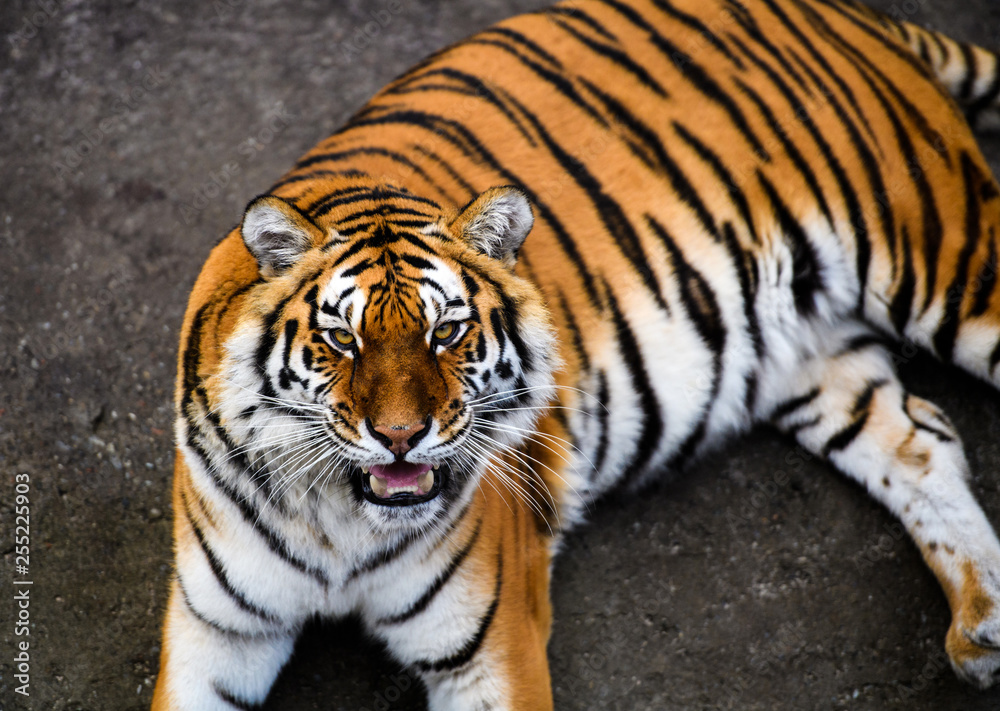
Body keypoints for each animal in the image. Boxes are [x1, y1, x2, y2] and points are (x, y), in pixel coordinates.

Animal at [152, 0, 1000, 708]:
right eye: (342, 338)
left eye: (445, 332)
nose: (400, 436)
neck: (337, 523)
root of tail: (854, 15)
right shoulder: (213, 630)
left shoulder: (490, 643)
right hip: (809, 351)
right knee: (922, 438)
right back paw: (984, 626)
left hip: (945, 261)